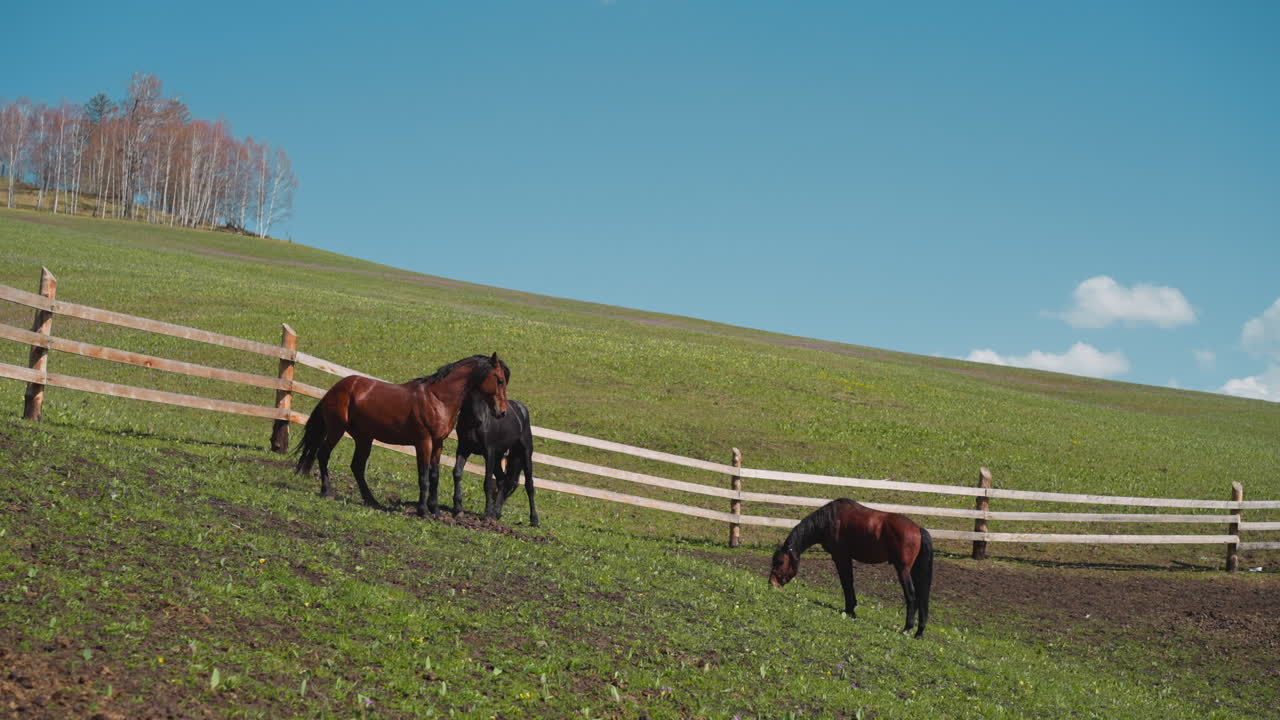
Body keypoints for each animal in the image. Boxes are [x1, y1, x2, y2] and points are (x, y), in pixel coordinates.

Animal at [294, 353, 509, 517]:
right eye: (499, 380)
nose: (502, 412)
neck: (438, 399)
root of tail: (336, 388)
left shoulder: (438, 443)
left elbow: (435, 476)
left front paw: (436, 510)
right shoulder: (424, 442)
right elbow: (423, 477)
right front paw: (423, 511)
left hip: (364, 438)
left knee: (357, 466)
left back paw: (372, 500)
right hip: (337, 429)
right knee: (323, 454)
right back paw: (327, 491)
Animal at [451, 391, 538, 526]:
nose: (479, 420)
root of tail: (521, 409)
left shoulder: (489, 452)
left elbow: (487, 482)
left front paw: (486, 514)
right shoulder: (463, 448)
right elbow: (457, 473)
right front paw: (457, 509)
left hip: (525, 454)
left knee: (529, 485)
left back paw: (534, 520)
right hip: (498, 458)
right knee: (503, 480)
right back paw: (496, 513)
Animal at [769, 498, 933, 638]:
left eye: (780, 562)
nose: (771, 583)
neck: (830, 520)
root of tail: (918, 529)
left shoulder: (841, 558)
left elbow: (846, 583)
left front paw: (849, 610)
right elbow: (849, 583)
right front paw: (852, 609)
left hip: (903, 569)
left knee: (911, 595)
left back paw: (907, 628)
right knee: (921, 597)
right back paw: (919, 631)